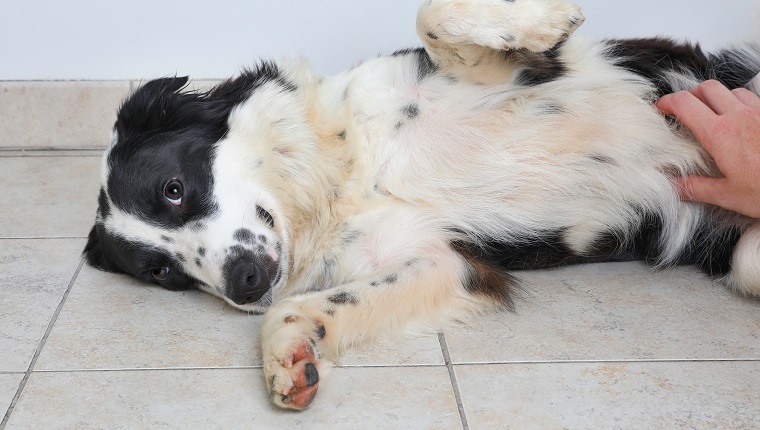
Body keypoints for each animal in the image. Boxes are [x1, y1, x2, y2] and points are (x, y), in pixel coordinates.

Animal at [81, 0, 760, 410]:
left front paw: (546, 22)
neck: (346, 174)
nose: (242, 283)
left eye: (174, 189)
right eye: (163, 273)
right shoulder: (439, 262)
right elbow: (301, 310)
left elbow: (432, 16)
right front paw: (288, 359)